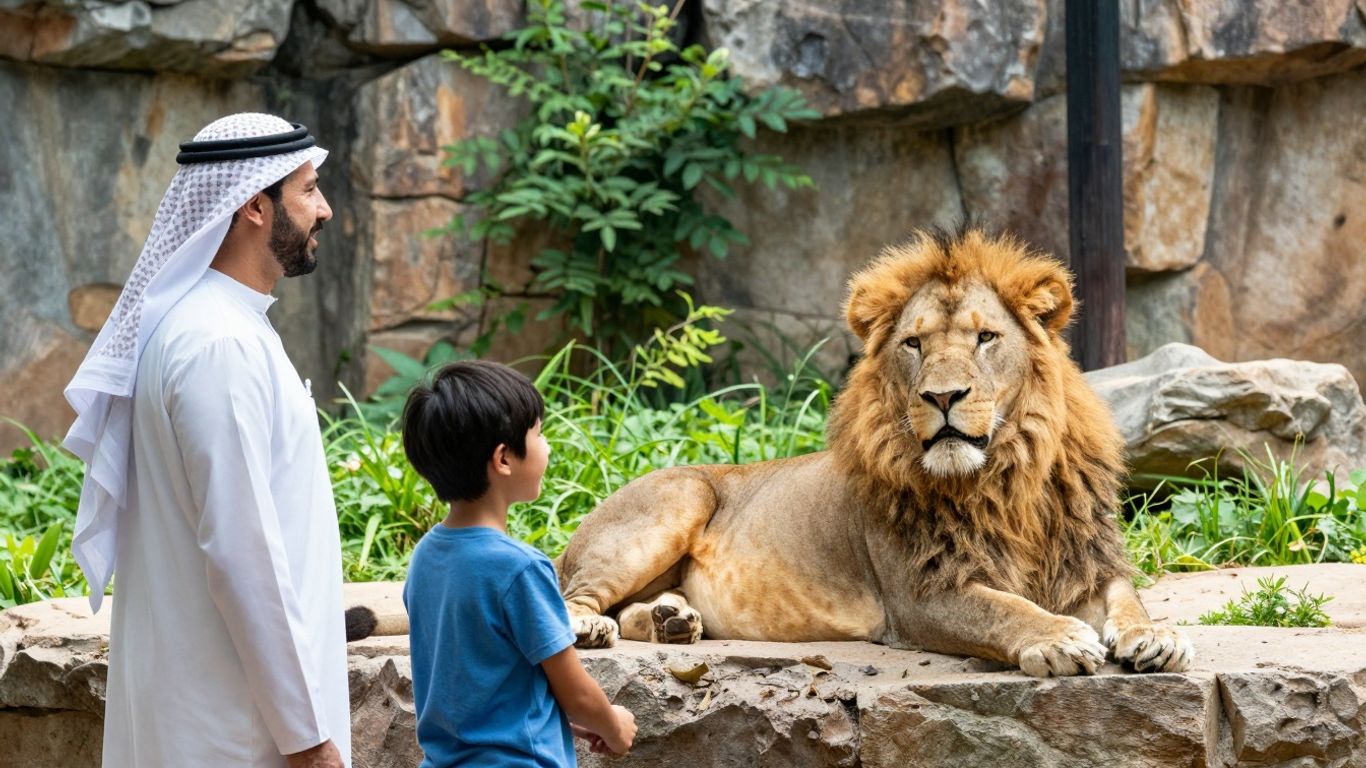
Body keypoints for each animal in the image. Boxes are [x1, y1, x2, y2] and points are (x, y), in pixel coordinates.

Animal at [556, 227, 1194, 677]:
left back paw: (672, 622)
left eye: (985, 338)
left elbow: (1128, 596)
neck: (1005, 478)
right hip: (677, 498)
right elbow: (1002, 609)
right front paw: (1058, 638)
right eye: (914, 344)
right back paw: (592, 629)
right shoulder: (920, 594)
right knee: (574, 597)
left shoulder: (1083, 562)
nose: (942, 396)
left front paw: (1155, 637)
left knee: (626, 609)